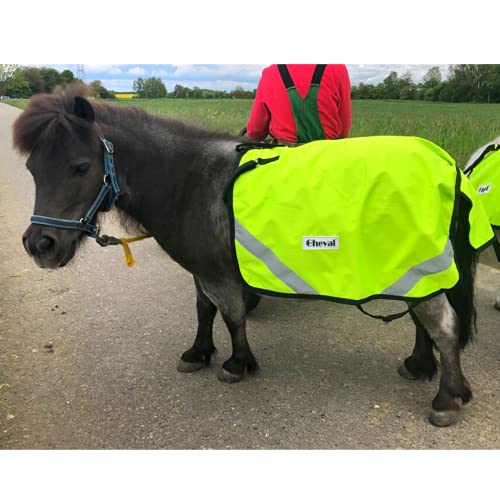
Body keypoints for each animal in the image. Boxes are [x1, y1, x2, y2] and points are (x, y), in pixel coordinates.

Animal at [14, 86, 476, 426]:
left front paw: (237, 363)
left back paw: (447, 399)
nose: (40, 245)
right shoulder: (202, 268)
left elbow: (233, 315)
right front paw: (198, 353)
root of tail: (446, 163)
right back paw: (419, 365)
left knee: (443, 325)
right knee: (422, 318)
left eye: (80, 167)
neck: (189, 179)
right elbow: (204, 310)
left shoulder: (220, 275)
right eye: (33, 169)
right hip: (411, 268)